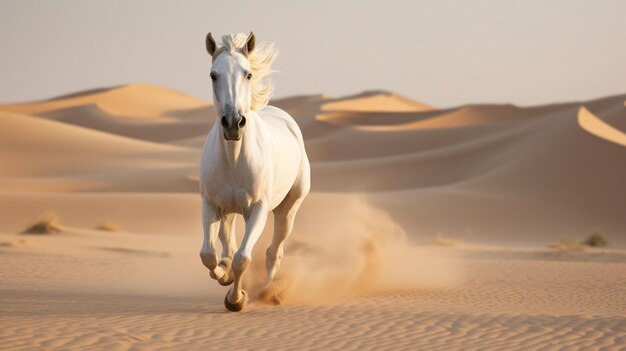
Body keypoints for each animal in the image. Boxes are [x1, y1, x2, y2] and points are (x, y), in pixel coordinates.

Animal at [199, 33, 308, 312]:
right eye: (213, 75)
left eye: (247, 74)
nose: (233, 123)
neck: (235, 158)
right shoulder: (211, 205)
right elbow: (209, 255)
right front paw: (224, 276)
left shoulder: (257, 209)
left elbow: (243, 258)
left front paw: (236, 300)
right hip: (228, 211)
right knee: (227, 243)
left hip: (287, 210)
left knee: (273, 252)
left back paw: (269, 291)